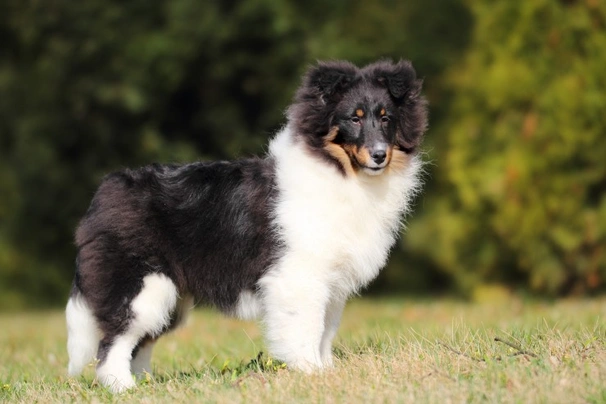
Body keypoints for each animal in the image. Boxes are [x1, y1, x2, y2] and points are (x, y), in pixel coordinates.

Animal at [65, 59, 428, 392]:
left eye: (386, 118)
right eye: (354, 118)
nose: (379, 155)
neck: (343, 172)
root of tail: (105, 190)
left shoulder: (332, 281)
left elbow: (326, 330)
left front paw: (328, 372)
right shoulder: (298, 276)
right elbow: (307, 328)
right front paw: (309, 372)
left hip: (169, 295)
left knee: (139, 343)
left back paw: (147, 385)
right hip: (139, 284)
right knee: (113, 341)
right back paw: (122, 387)